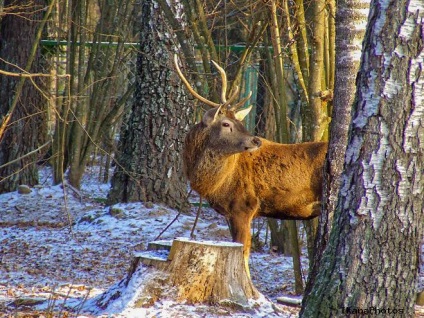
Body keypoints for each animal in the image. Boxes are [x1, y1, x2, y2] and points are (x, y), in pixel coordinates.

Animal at [174, 56, 326, 278]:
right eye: (226, 123)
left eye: (240, 122)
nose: (256, 140)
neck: (216, 184)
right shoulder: (232, 213)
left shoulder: (244, 205)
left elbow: (243, 253)